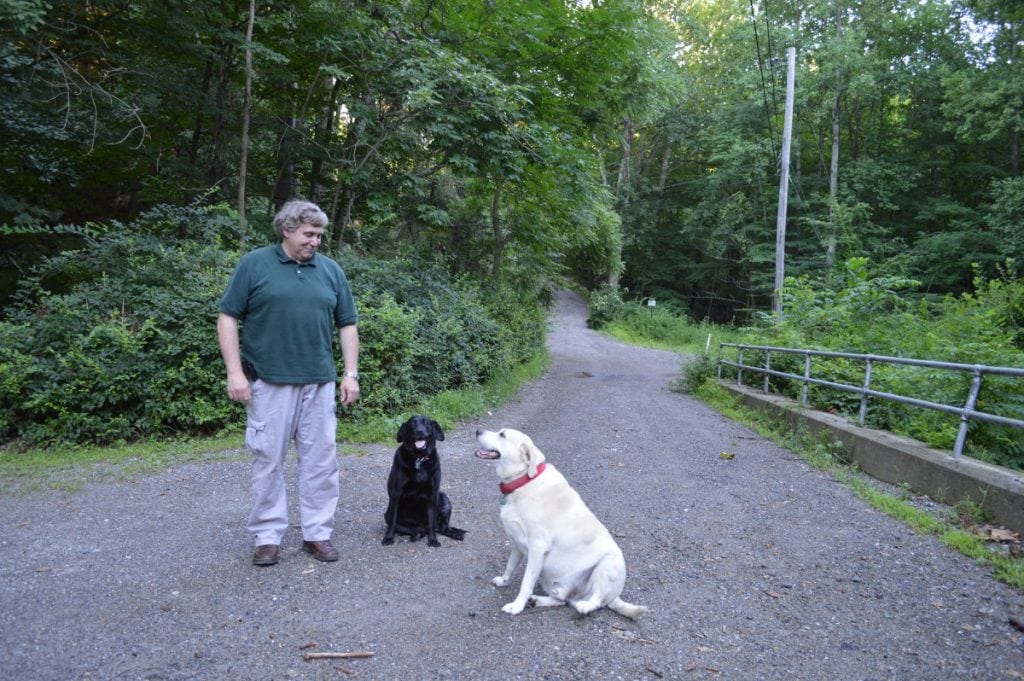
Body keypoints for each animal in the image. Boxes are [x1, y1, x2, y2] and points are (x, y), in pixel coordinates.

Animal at [382, 413, 466, 548]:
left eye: (426, 423)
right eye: (413, 423)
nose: (420, 431)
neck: (418, 458)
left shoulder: (432, 494)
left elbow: (431, 522)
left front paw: (433, 540)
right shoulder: (396, 494)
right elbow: (393, 523)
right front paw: (388, 537)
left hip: (444, 498)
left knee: (442, 528)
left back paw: (454, 534)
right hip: (387, 515)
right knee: (410, 528)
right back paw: (417, 533)